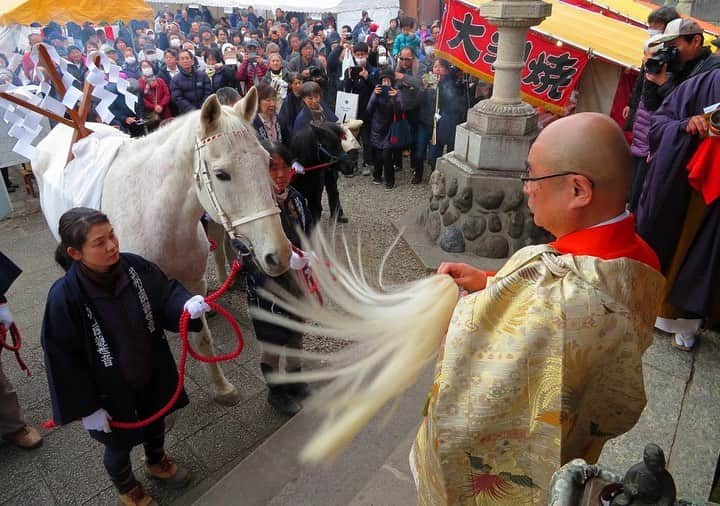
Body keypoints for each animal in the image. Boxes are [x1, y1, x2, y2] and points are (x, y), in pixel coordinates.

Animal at [33, 91, 292, 406]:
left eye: (266, 161)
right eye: (221, 174)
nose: (280, 254)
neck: (157, 219)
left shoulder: (193, 285)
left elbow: (202, 339)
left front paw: (221, 388)